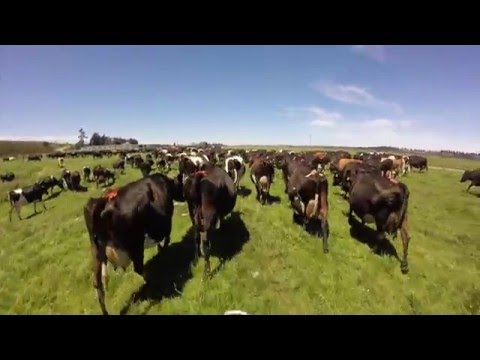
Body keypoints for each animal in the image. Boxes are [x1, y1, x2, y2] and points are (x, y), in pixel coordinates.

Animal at [83, 173, 183, 314]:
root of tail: (103, 203)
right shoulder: (165, 225)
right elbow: (166, 238)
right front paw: (163, 250)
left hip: (97, 252)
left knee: (97, 284)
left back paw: (106, 312)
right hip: (136, 245)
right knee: (139, 269)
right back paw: (153, 282)